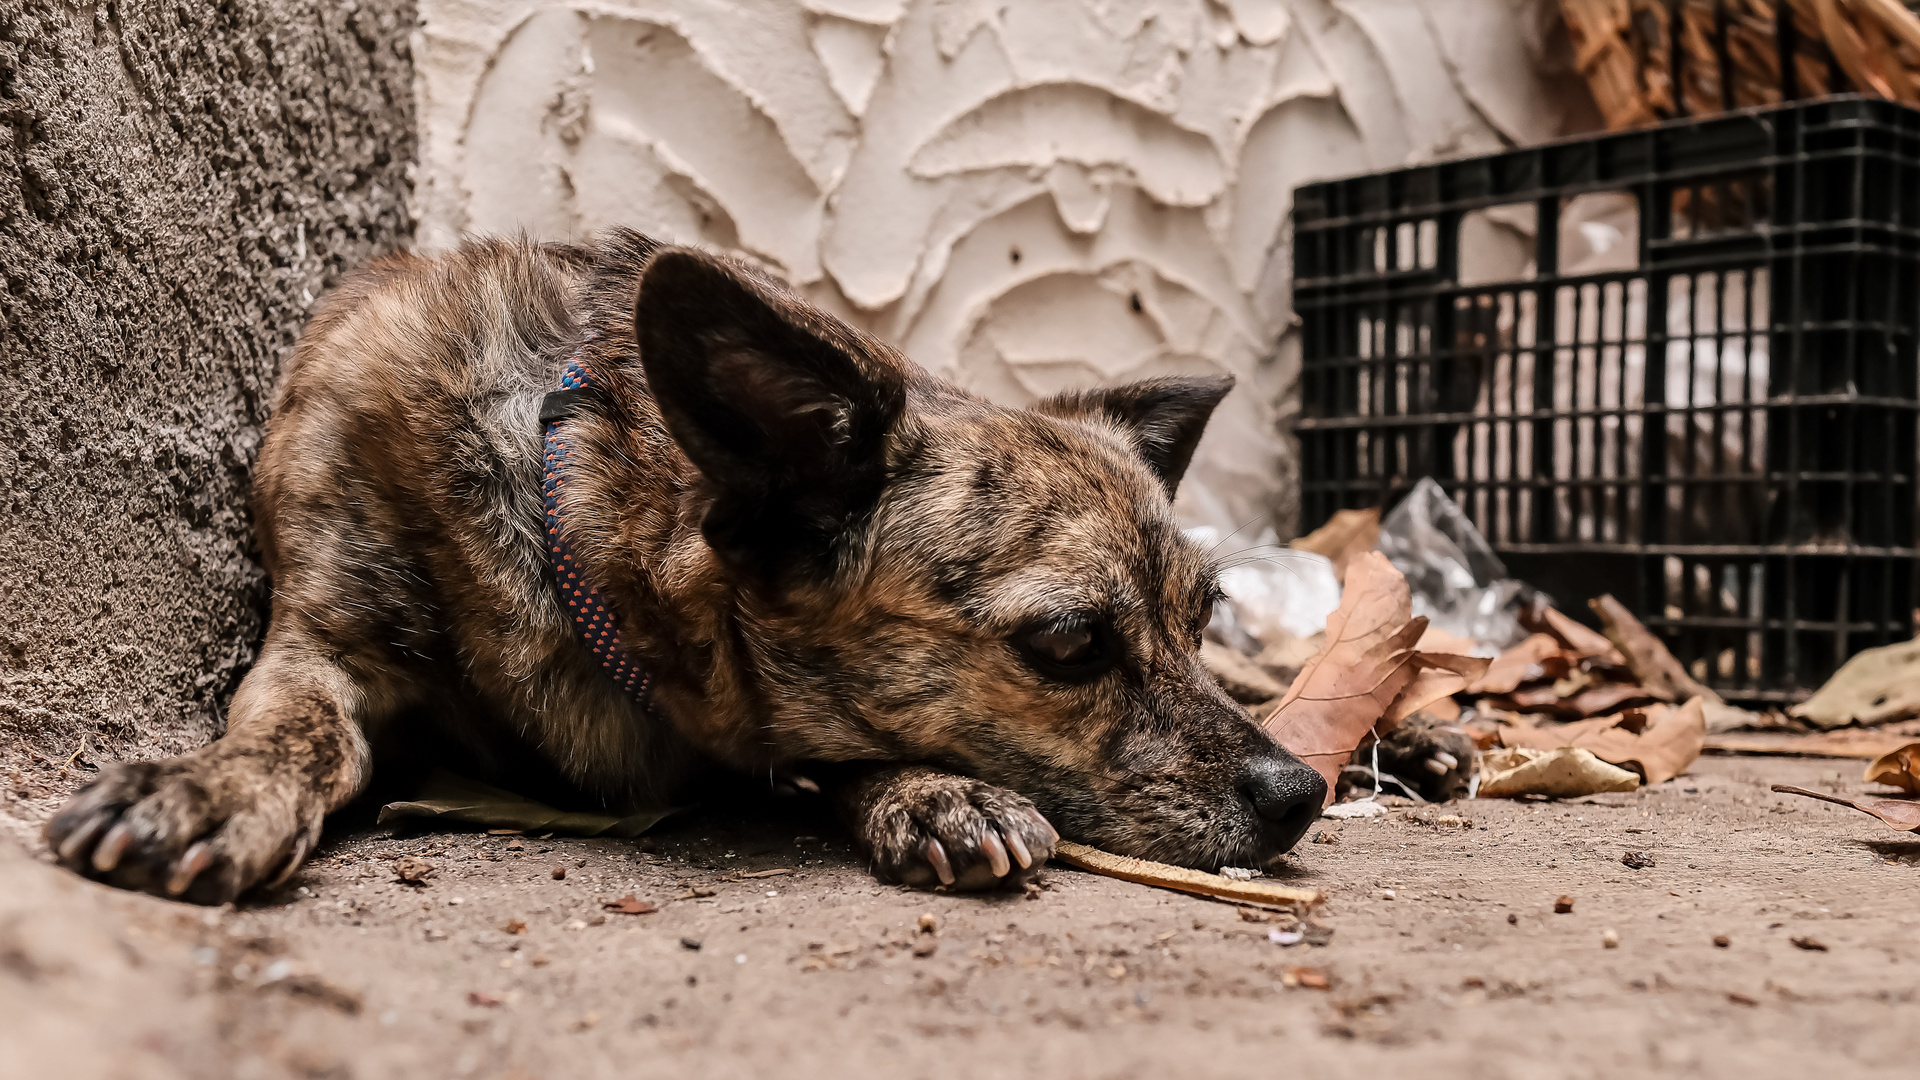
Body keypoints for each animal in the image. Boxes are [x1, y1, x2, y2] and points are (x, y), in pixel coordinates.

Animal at [48, 233, 1336, 899]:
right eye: (1067, 646)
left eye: (1200, 619)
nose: (1299, 794)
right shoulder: (323, 647)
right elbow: (291, 733)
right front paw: (209, 787)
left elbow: (846, 747)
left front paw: (932, 791)